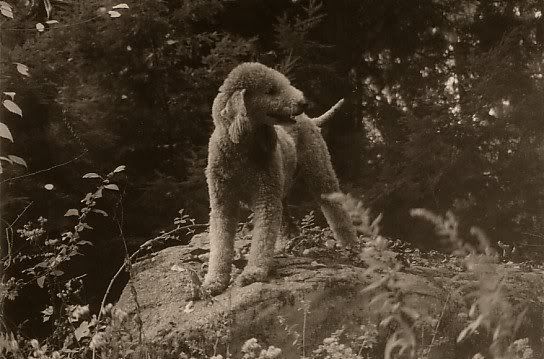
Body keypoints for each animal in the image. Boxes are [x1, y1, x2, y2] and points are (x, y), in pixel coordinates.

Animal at [204, 63, 356, 296]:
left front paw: (254, 272)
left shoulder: (265, 199)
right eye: (270, 91)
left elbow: (262, 238)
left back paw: (351, 247)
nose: (303, 102)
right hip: (281, 188)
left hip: (320, 174)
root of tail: (310, 119)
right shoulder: (223, 202)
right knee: (287, 222)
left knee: (336, 210)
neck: (241, 149)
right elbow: (220, 242)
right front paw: (214, 281)